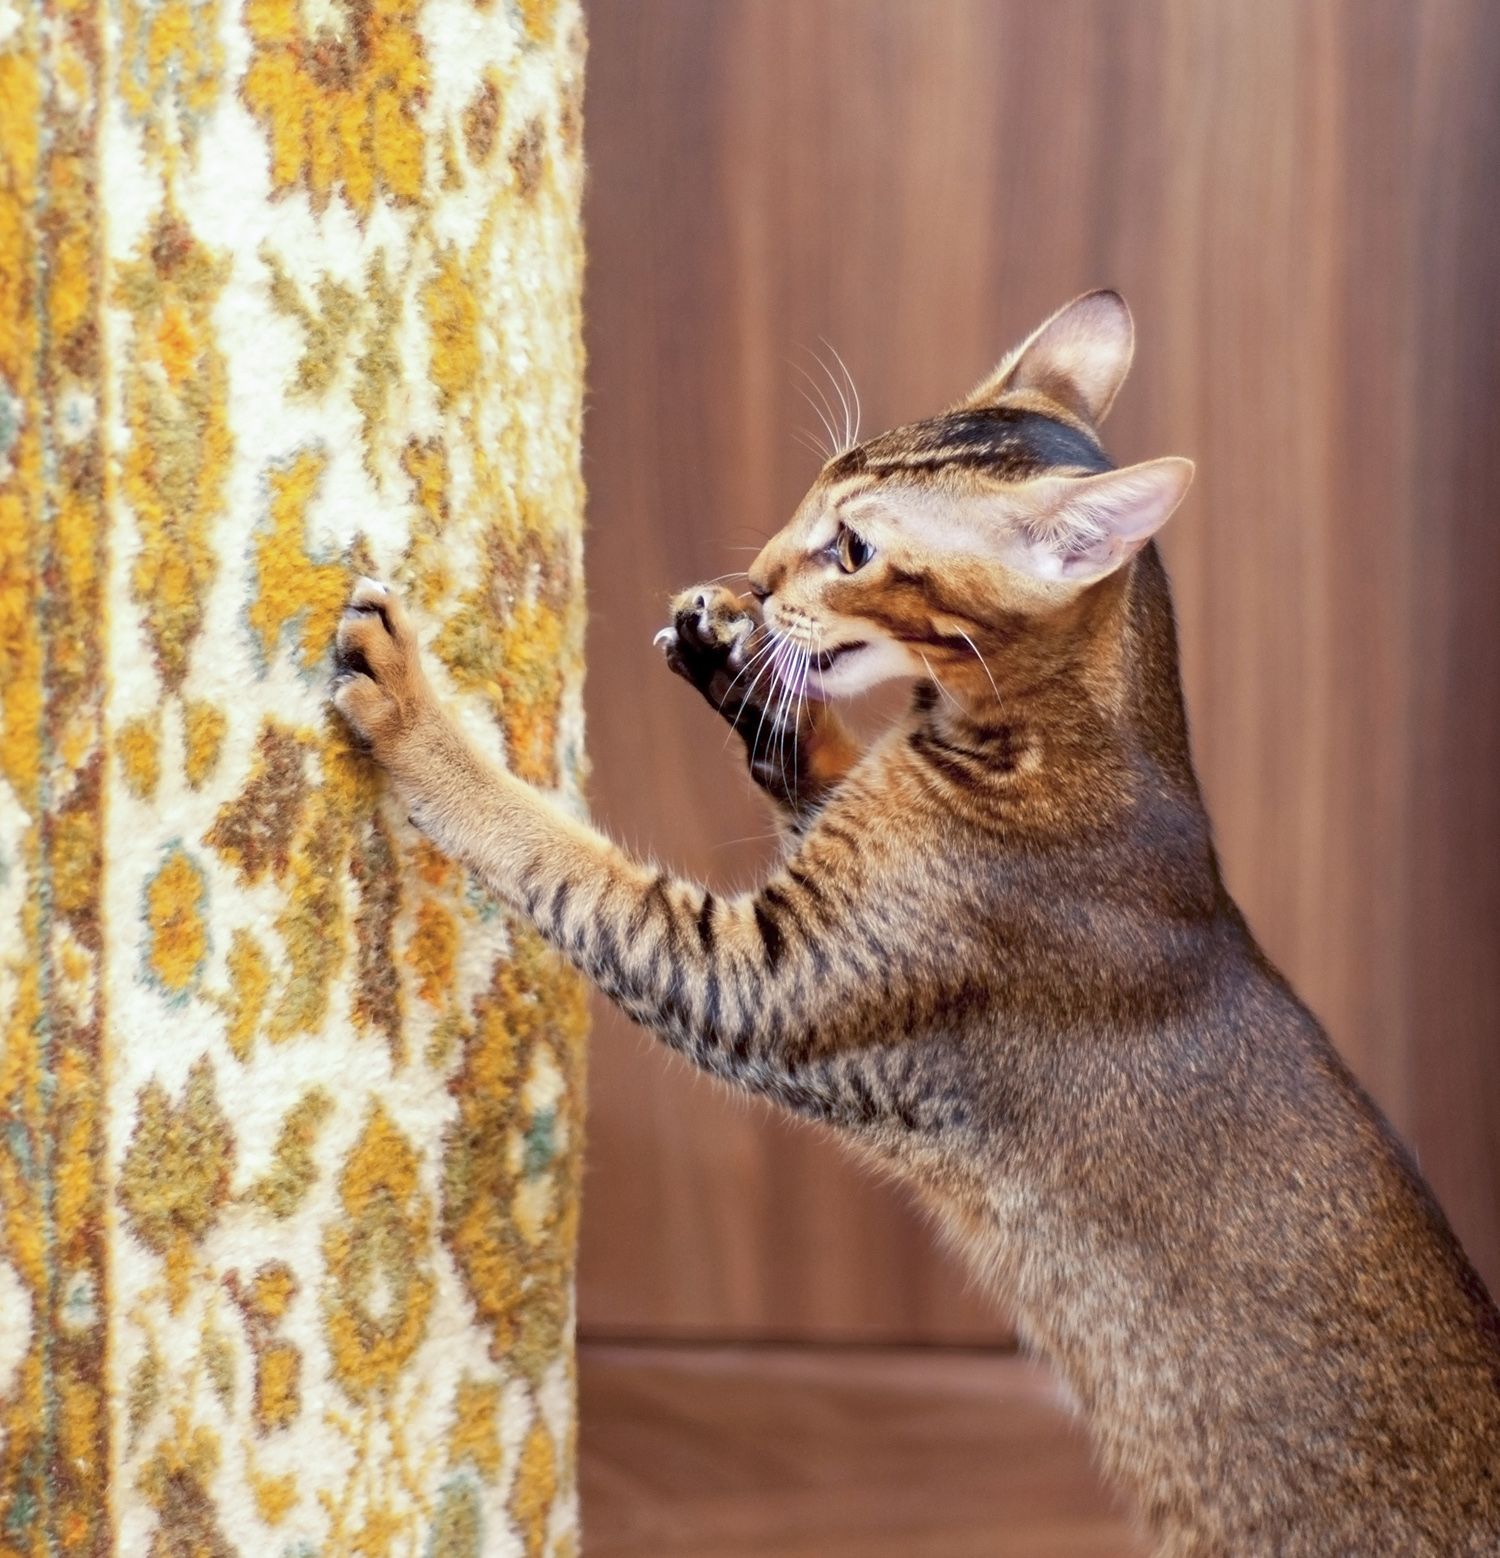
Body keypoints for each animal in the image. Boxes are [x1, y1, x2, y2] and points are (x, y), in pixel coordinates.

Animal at [331, 294, 1500, 1558]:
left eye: (855, 550)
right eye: (815, 487)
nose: (756, 571)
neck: (1070, 734)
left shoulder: (765, 980)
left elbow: (563, 860)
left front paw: (416, 715)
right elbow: (814, 752)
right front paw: (734, 656)